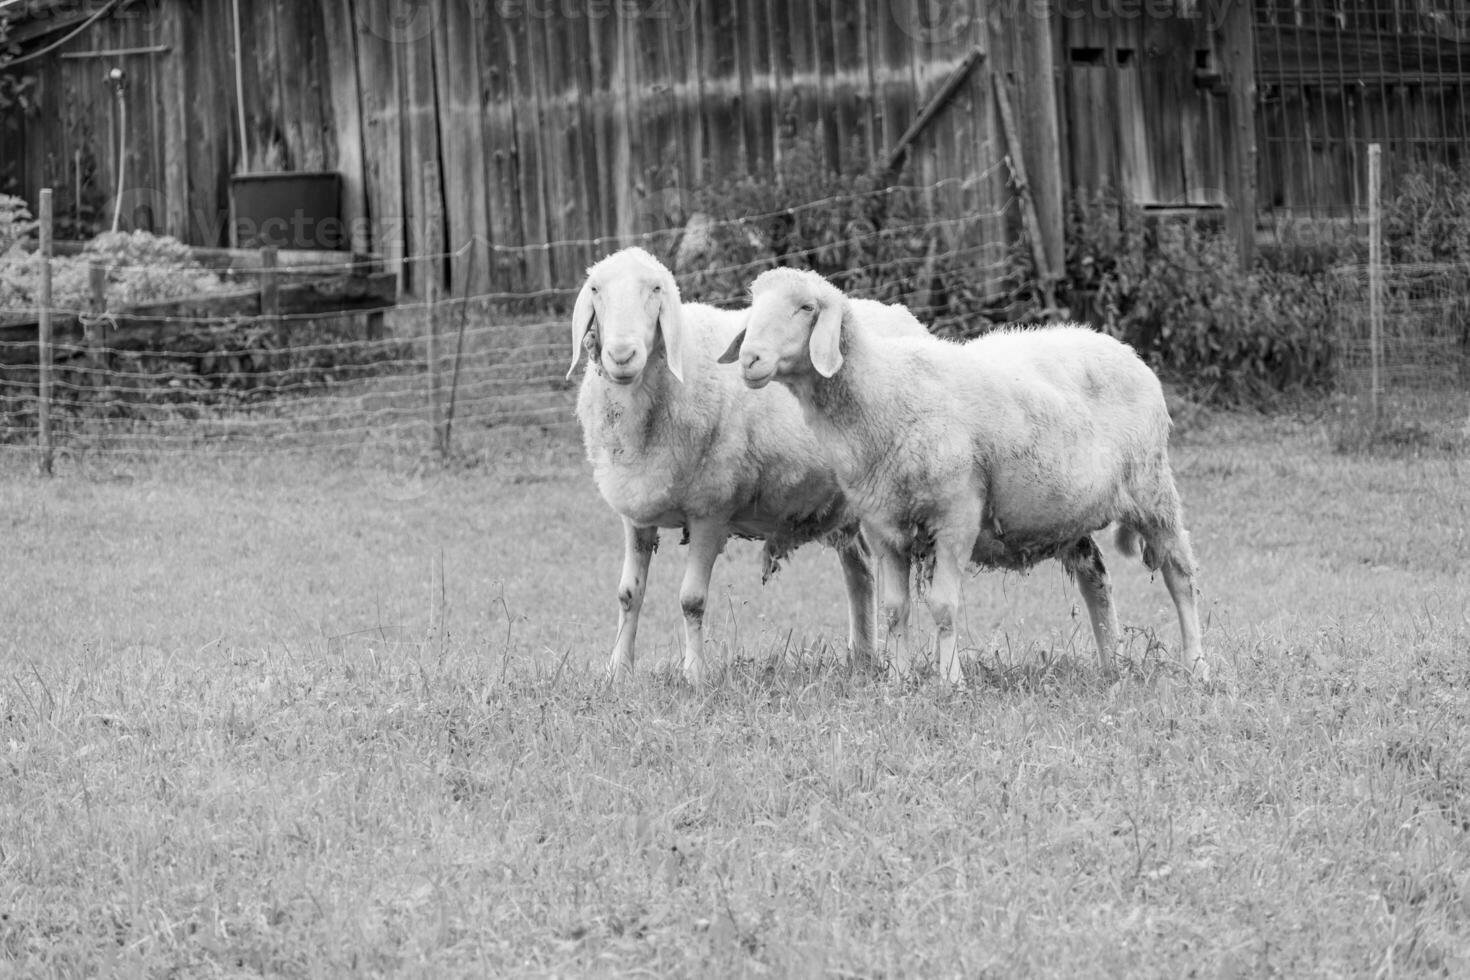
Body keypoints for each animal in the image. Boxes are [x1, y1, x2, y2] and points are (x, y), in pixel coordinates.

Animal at [567, 249, 923, 687]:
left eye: (656, 290)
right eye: (595, 290)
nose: (620, 356)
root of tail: (902, 313)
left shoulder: (710, 511)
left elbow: (691, 600)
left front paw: (694, 675)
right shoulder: (636, 512)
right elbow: (628, 594)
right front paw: (617, 670)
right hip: (843, 509)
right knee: (859, 572)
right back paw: (862, 657)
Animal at [717, 264, 1211, 687]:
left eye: (806, 307)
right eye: (754, 302)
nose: (750, 359)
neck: (883, 391)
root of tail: (1121, 348)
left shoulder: (955, 514)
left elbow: (943, 605)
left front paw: (950, 682)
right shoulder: (883, 524)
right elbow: (895, 609)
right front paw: (897, 682)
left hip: (1152, 488)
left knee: (1180, 575)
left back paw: (1196, 665)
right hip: (1068, 512)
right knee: (1097, 578)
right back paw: (1111, 666)